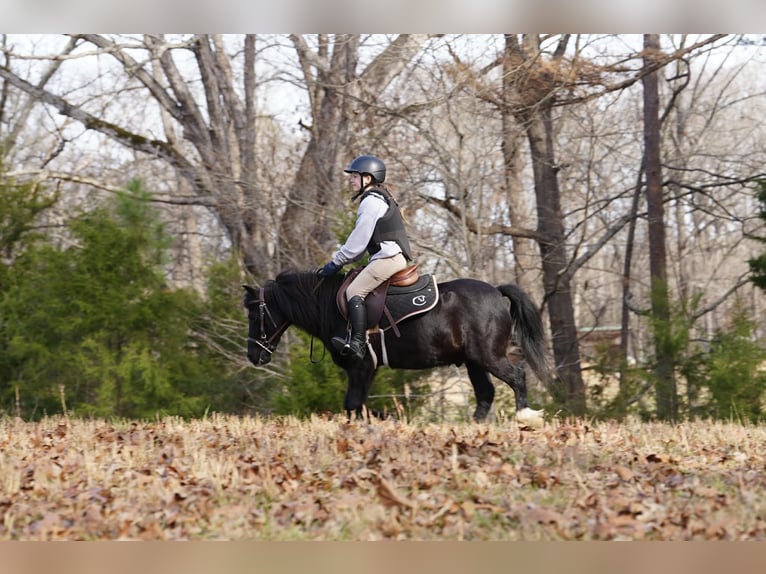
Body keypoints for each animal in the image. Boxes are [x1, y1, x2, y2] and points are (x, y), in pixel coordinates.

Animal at [243, 270, 552, 425]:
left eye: (253, 314)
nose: (254, 356)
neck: (330, 306)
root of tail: (497, 292)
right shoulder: (366, 370)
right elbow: (358, 405)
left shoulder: (361, 366)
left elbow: (353, 405)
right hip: (474, 361)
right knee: (486, 393)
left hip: (487, 356)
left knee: (517, 377)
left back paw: (525, 416)